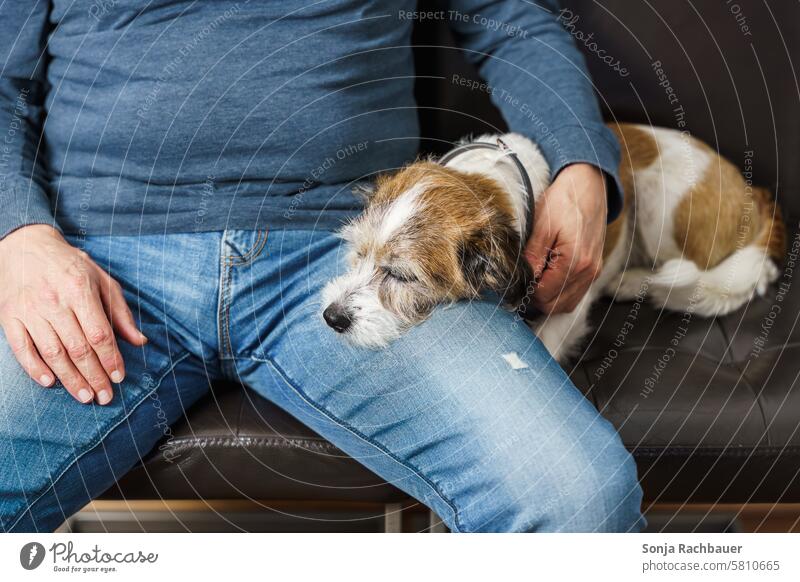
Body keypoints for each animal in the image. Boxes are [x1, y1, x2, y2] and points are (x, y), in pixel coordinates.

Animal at [322, 124, 784, 360]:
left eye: (402, 275)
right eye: (358, 253)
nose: (332, 317)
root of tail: (755, 195)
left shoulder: (572, 291)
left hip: (661, 202)